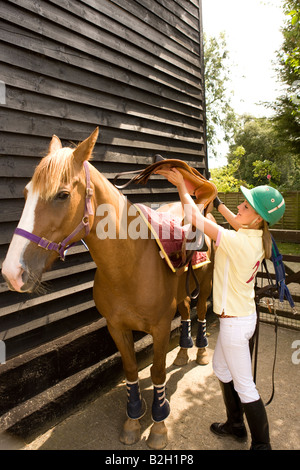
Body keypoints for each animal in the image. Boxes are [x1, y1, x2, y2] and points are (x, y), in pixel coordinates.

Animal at [1, 127, 213, 448]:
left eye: (62, 195)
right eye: (26, 194)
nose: (12, 272)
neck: (129, 265)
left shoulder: (161, 327)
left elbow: (157, 372)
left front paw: (159, 425)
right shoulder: (116, 327)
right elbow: (131, 370)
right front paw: (133, 420)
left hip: (206, 281)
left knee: (200, 311)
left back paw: (200, 352)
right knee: (187, 310)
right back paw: (183, 352)